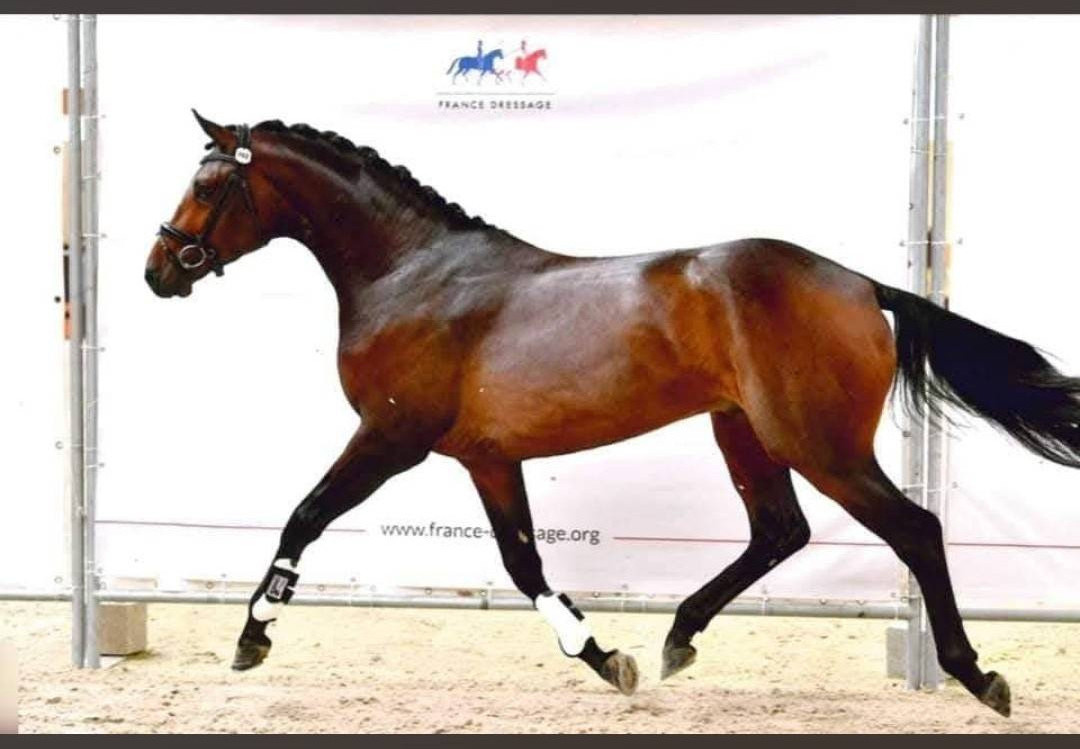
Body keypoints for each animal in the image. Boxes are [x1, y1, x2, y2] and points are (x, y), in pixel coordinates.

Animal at [145, 111, 1080, 717]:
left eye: (208, 183)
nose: (159, 269)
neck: (413, 274)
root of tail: (859, 283)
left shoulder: (390, 437)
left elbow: (304, 515)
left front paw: (253, 636)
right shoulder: (487, 457)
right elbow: (524, 565)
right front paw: (607, 659)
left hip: (817, 441)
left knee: (914, 527)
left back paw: (977, 675)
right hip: (743, 430)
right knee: (779, 530)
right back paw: (677, 638)